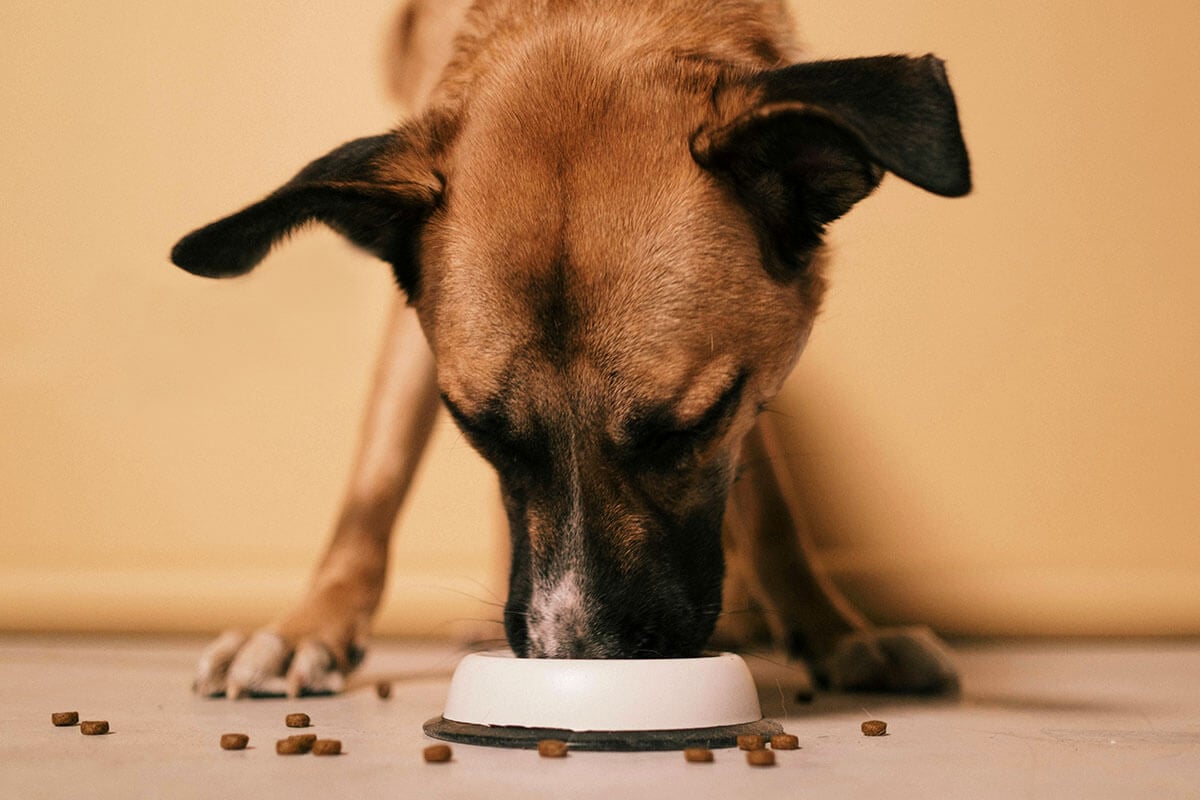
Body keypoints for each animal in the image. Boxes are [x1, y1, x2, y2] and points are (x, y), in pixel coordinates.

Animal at [171, 0, 974, 695]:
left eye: (690, 427)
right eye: (480, 431)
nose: (578, 657)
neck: (582, 16)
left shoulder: (750, 380)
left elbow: (771, 506)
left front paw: (834, 631)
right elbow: (374, 483)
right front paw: (310, 626)